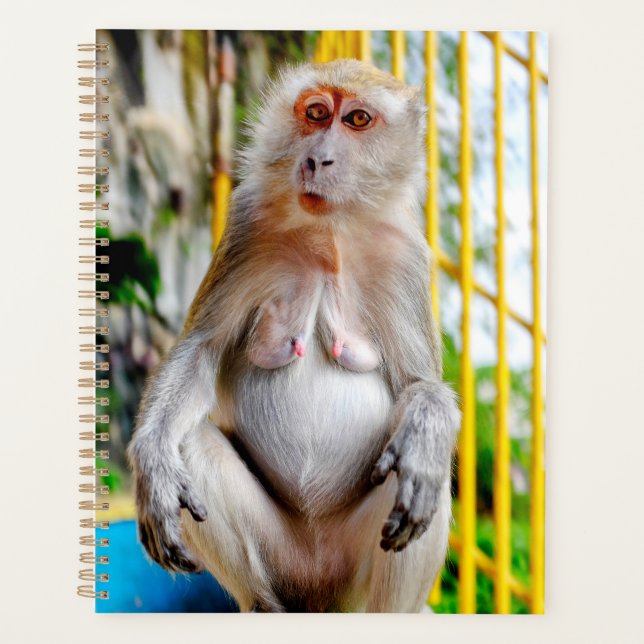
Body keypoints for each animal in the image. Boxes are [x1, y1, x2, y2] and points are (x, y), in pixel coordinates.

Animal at [127, 58, 461, 613]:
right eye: (317, 112)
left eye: (358, 120)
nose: (317, 159)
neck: (330, 231)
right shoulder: (247, 221)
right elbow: (201, 349)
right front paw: (153, 466)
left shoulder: (409, 256)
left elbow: (419, 387)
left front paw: (427, 430)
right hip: (282, 557)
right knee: (191, 444)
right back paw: (264, 604)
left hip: (351, 578)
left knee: (420, 482)